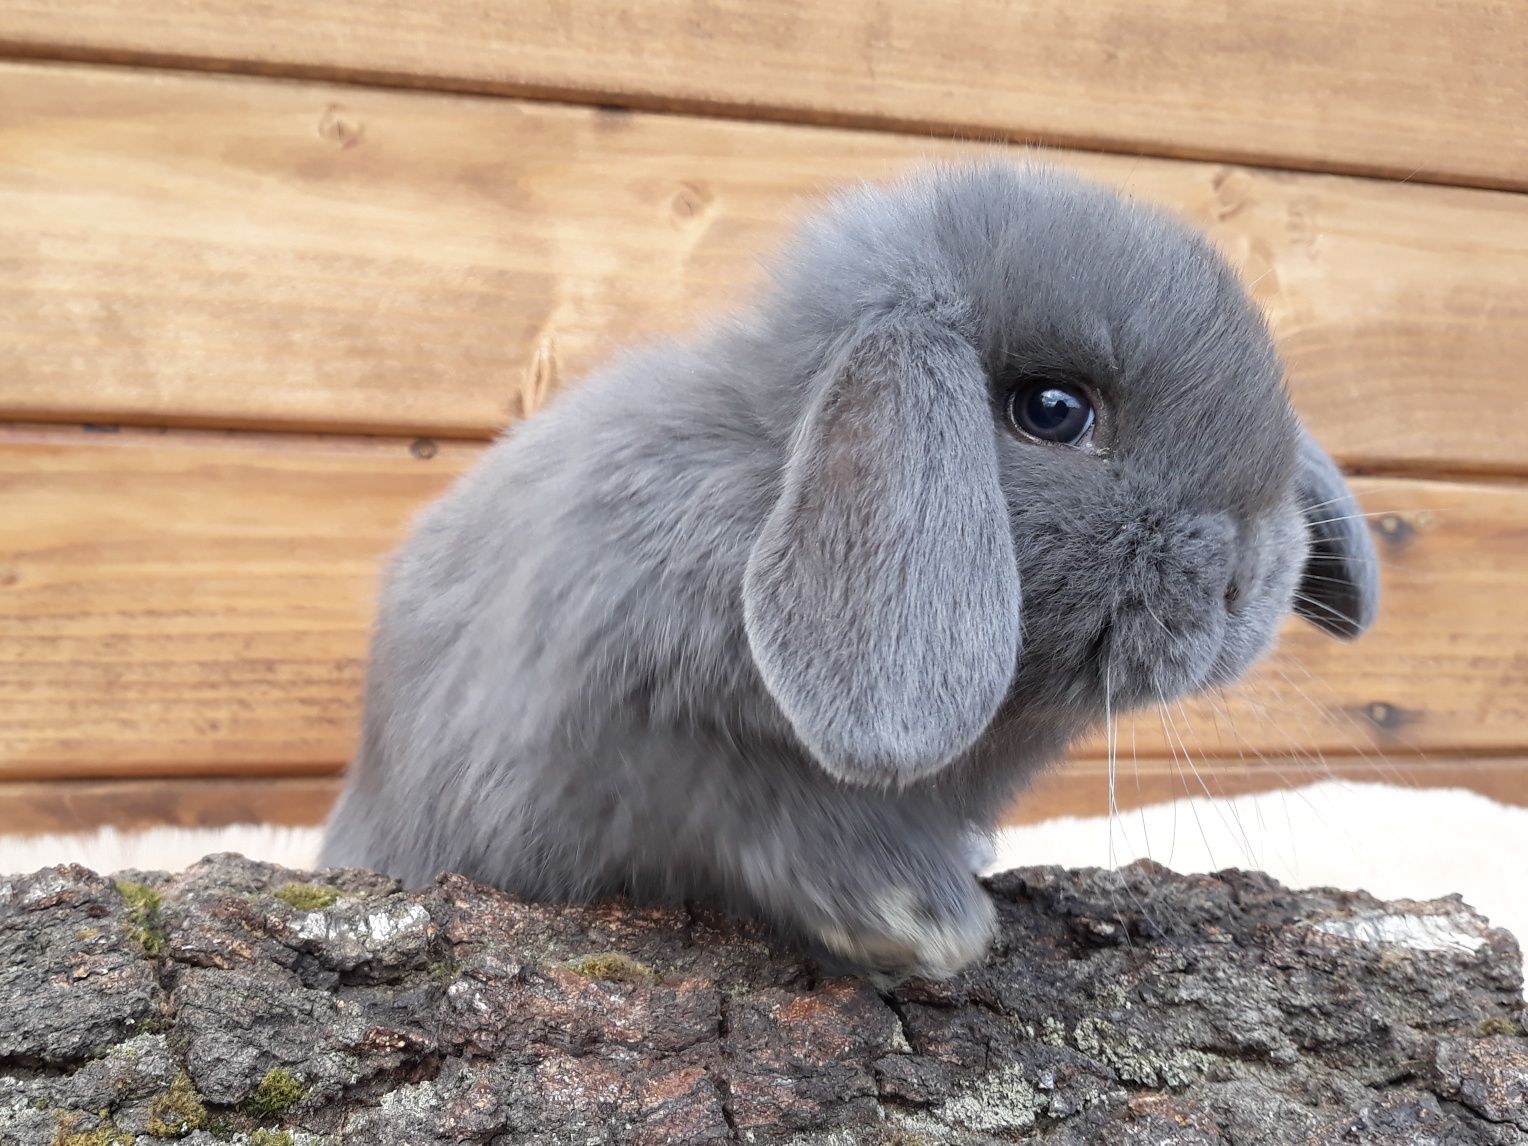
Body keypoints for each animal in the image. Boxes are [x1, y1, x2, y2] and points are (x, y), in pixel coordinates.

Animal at [316, 161, 1381, 984]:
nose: (1247, 579)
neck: (765, 470)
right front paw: (929, 924)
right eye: (1052, 410)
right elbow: (780, 818)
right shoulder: (655, 739)